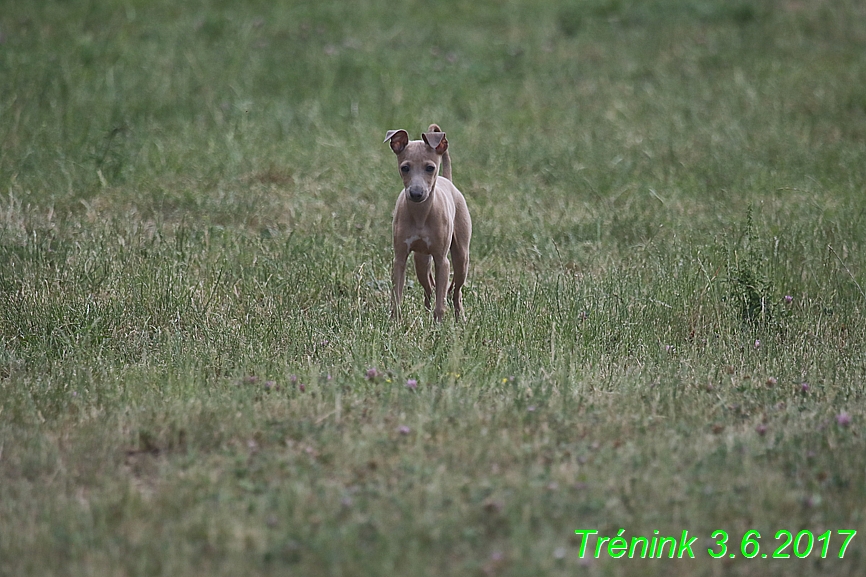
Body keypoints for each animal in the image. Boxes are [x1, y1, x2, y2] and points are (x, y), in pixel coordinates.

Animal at [382, 124, 470, 322]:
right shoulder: (400, 258)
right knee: (429, 287)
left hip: (461, 258)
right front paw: (395, 323)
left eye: (430, 168)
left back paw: (459, 317)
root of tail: (448, 180)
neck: (421, 215)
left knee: (456, 291)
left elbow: (441, 301)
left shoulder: (442, 261)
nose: (416, 193)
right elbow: (396, 296)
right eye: (405, 168)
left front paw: (439, 324)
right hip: (421, 260)